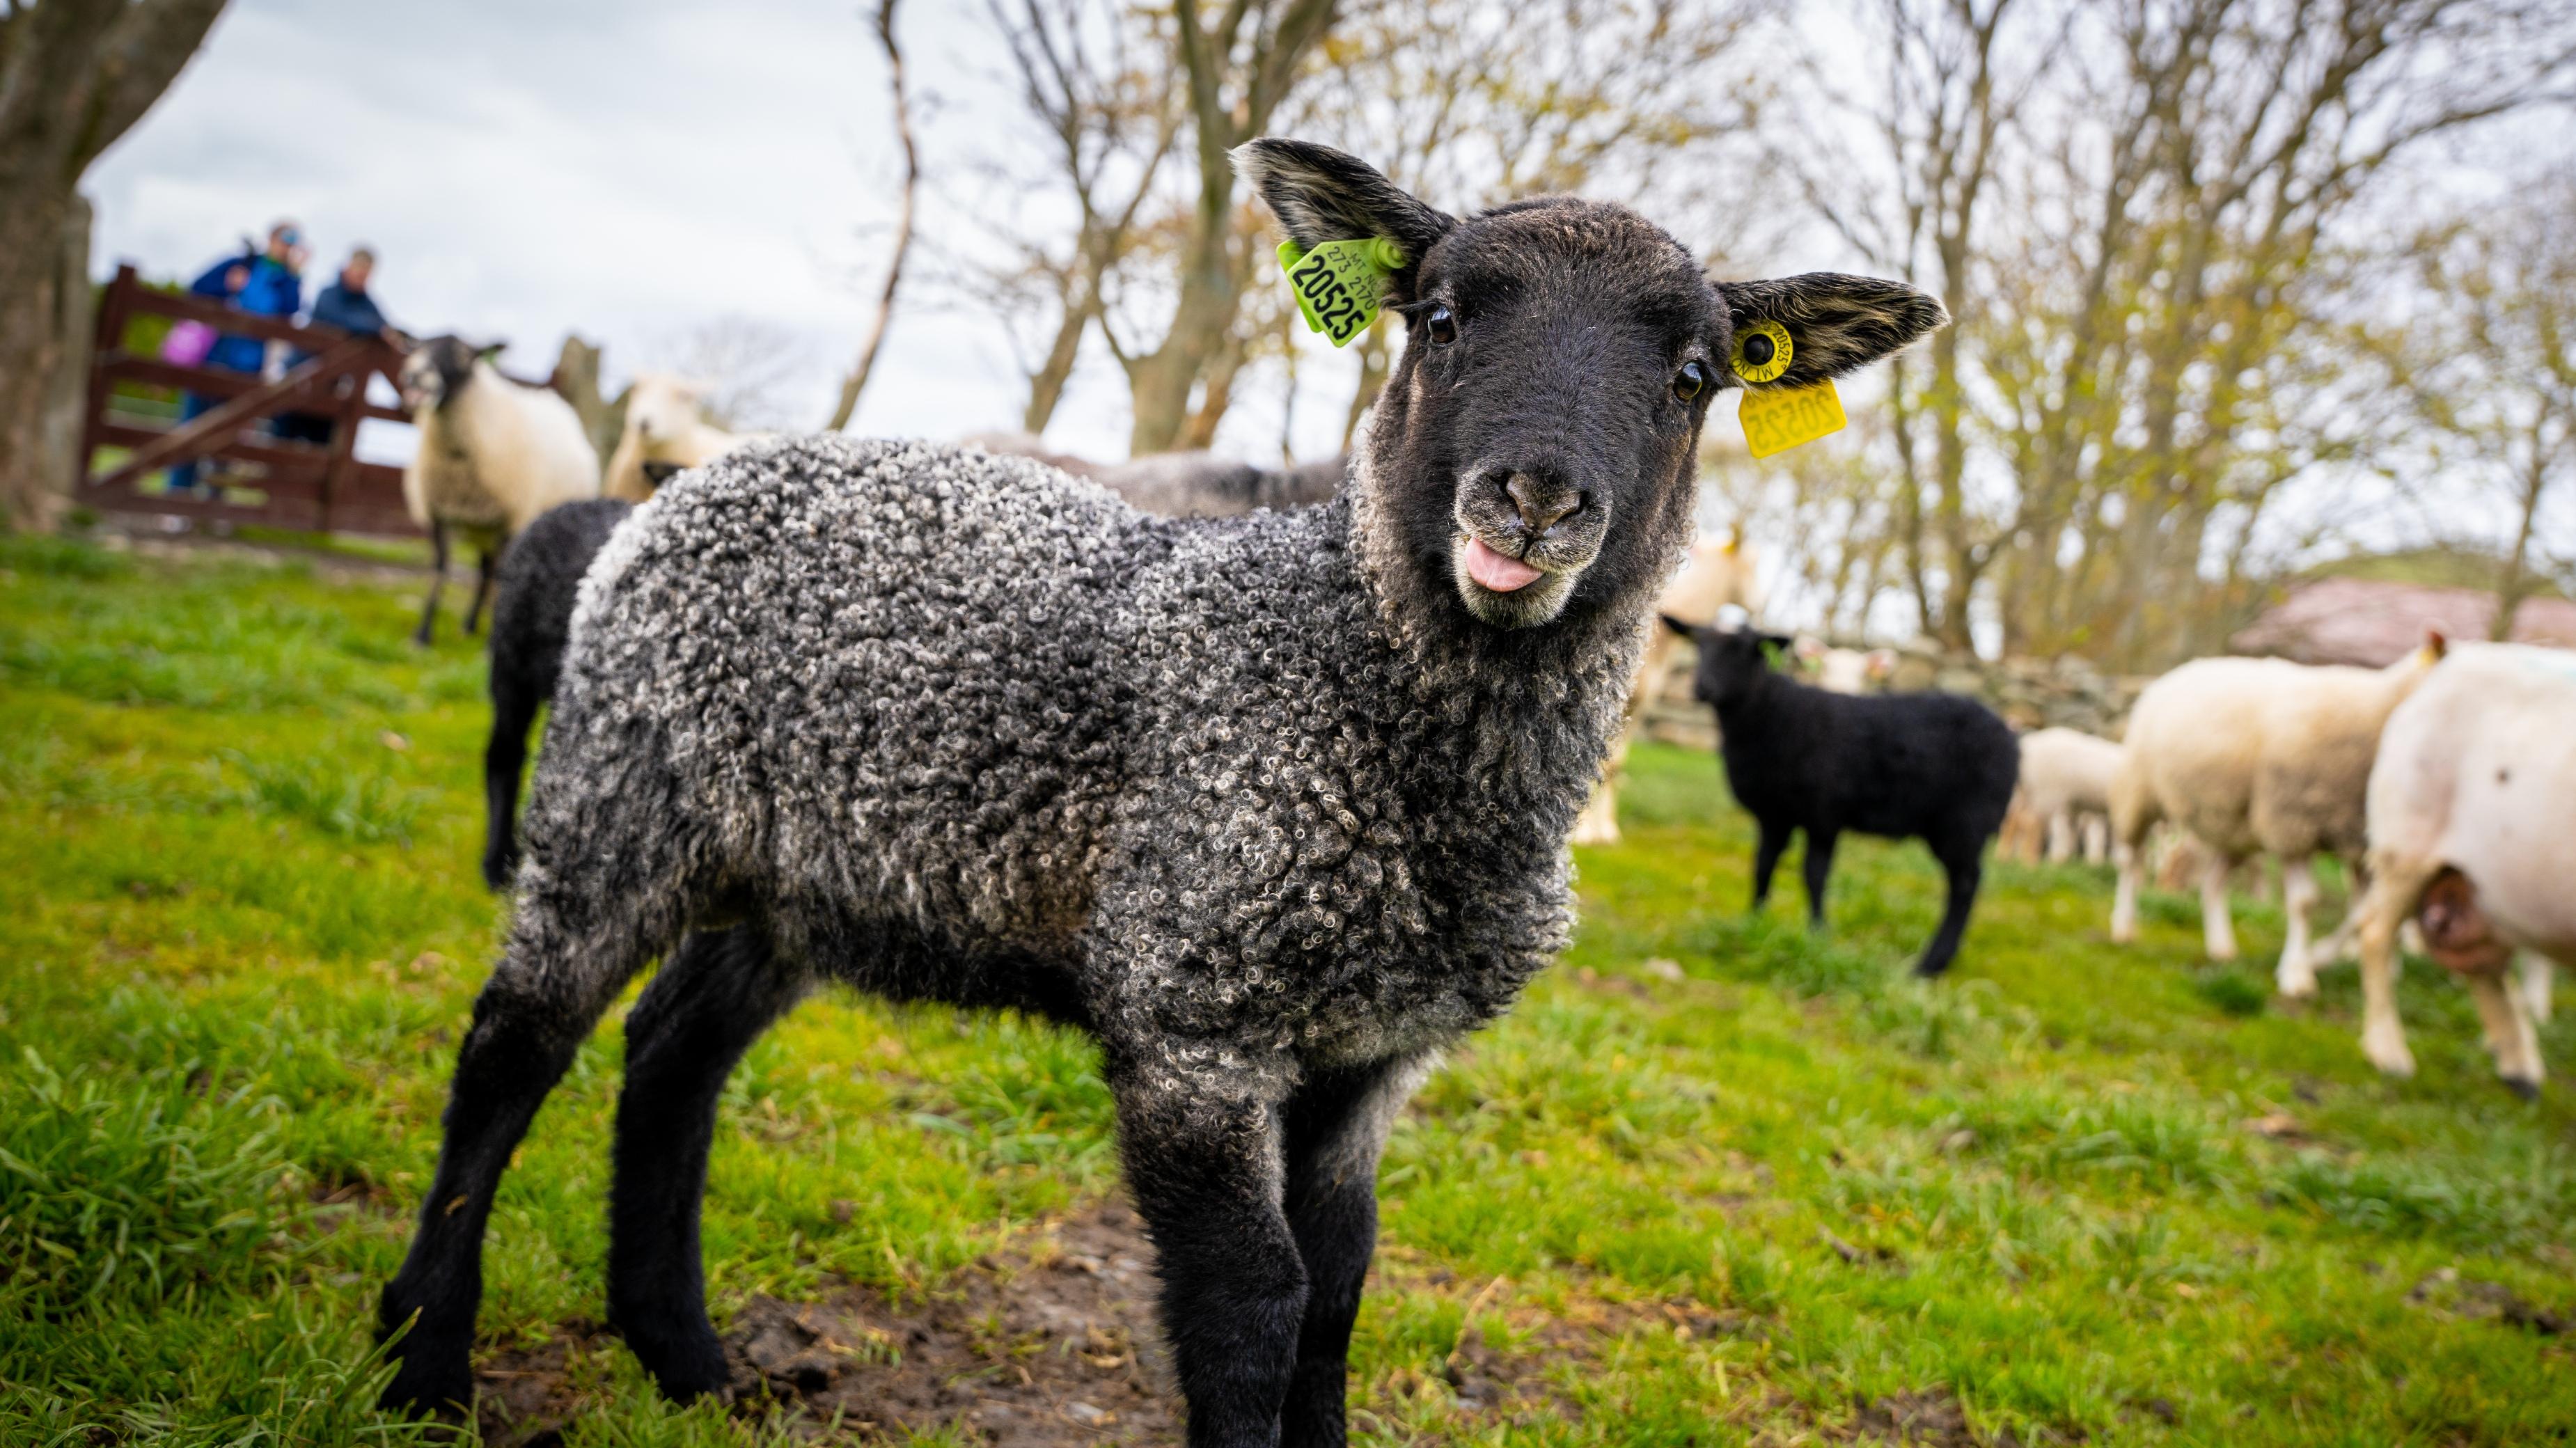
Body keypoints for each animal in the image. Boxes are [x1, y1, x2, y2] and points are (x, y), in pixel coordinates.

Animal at [398, 336, 602, 646]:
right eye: (418, 347)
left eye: (464, 355)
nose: (415, 375)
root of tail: (558, 404)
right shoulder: (438, 512)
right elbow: (440, 569)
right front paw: (423, 635)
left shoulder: (512, 519)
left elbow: (503, 577)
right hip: (483, 530)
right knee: (485, 571)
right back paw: (470, 625)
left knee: (494, 572)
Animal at [1569, 531, 1763, 846]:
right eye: (1751, 566)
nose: (1759, 606)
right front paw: (1583, 834)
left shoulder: (1638, 707)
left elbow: (1613, 767)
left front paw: (1606, 831)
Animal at [1663, 622, 2017, 977]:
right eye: (1698, 646)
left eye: (1744, 651)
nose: (1702, 687)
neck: (1775, 714)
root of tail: (2009, 734)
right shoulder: (1774, 815)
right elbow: (1763, 865)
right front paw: (1755, 919)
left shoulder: (1823, 813)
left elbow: (1814, 875)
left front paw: (1818, 934)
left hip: (1966, 823)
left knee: (1966, 884)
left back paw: (1931, 964)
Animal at [2107, 639, 2446, 996]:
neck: (2375, 712)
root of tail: (2181, 670)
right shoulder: (2291, 825)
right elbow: (2305, 903)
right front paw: (2298, 972)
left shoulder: (2359, 840)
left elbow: (2363, 911)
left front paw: (2362, 963)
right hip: (2140, 793)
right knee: (2130, 862)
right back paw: (2124, 926)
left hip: (2234, 828)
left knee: (2213, 881)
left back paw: (2221, 946)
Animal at [2350, 644, 2576, 1095]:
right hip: (2407, 843)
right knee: (2376, 934)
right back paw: (2390, 1054)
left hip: (2494, 885)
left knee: (2485, 966)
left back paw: (2520, 1072)